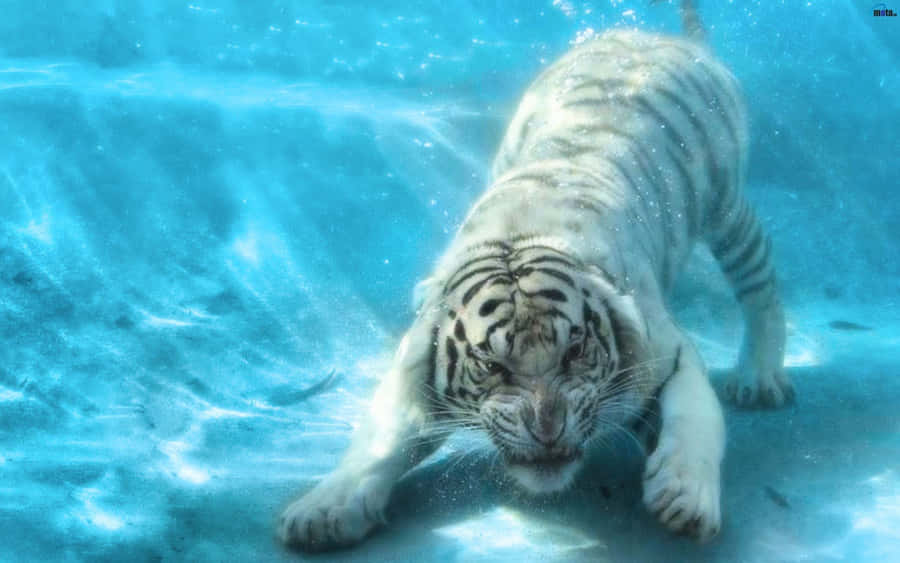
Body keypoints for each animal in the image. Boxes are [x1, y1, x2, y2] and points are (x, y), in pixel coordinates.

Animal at [278, 0, 792, 550]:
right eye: (492, 366)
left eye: (574, 352)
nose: (548, 429)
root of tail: (666, 40)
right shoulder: (412, 369)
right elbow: (377, 442)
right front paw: (323, 511)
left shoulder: (667, 354)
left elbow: (694, 420)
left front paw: (685, 498)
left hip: (726, 206)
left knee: (760, 283)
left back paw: (760, 379)